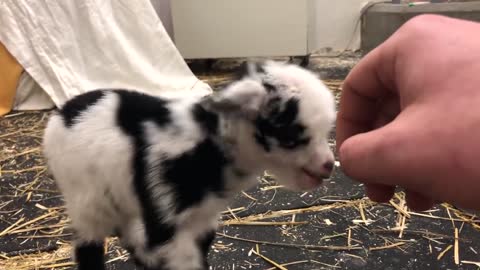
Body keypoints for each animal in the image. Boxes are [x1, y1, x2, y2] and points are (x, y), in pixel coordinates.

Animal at [43, 61, 336, 270]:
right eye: (291, 136)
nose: (329, 166)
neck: (209, 138)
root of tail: (61, 114)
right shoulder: (167, 214)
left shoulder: (203, 219)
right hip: (85, 198)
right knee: (88, 246)